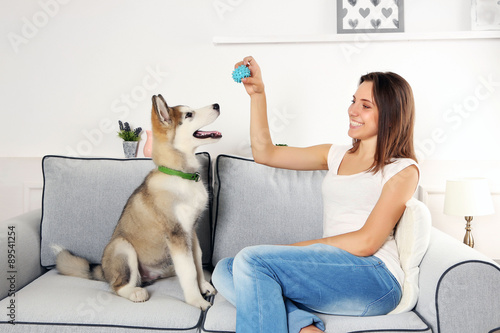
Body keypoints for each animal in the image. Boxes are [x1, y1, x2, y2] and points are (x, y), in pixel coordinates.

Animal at [52, 93, 221, 308]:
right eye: (189, 114)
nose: (217, 105)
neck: (180, 175)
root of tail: (102, 270)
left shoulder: (191, 230)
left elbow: (197, 261)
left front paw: (203, 286)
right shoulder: (176, 233)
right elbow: (189, 269)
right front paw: (196, 300)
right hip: (122, 247)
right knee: (118, 286)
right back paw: (135, 293)